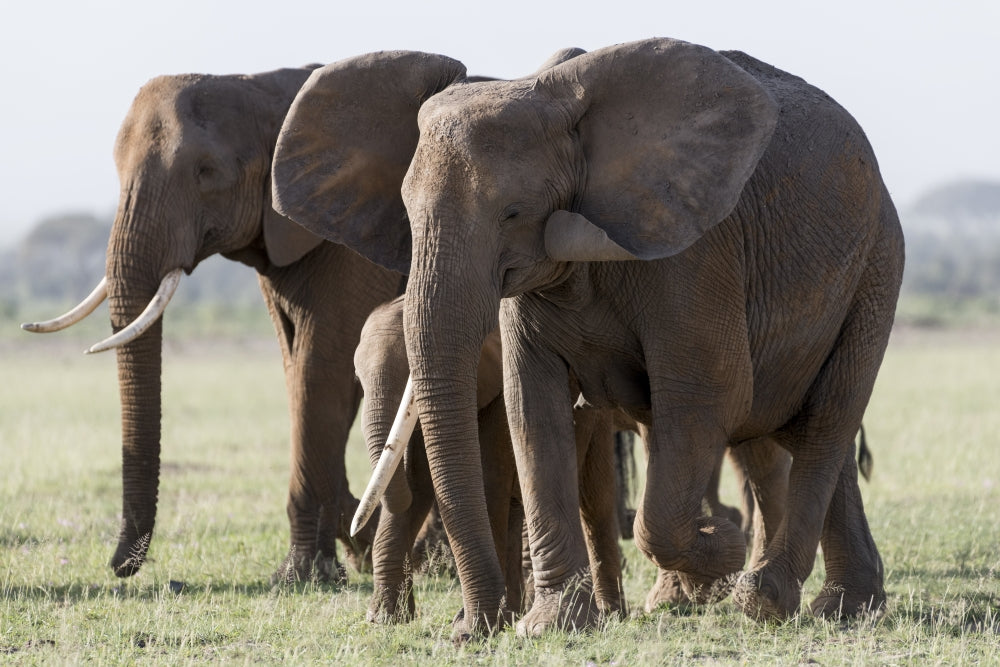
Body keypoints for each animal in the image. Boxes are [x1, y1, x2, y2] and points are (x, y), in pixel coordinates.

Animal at [21, 66, 405, 583]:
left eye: (207, 173)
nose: (119, 568)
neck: (268, 90)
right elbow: (298, 369)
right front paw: (336, 554)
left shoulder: (348, 239)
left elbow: (321, 369)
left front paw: (303, 574)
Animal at [354, 295, 628, 627]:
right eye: (359, 381)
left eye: (410, 372)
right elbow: (417, 483)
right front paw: (383, 619)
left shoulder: (498, 391)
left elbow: (488, 476)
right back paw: (518, 611)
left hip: (597, 418)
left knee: (595, 499)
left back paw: (610, 614)